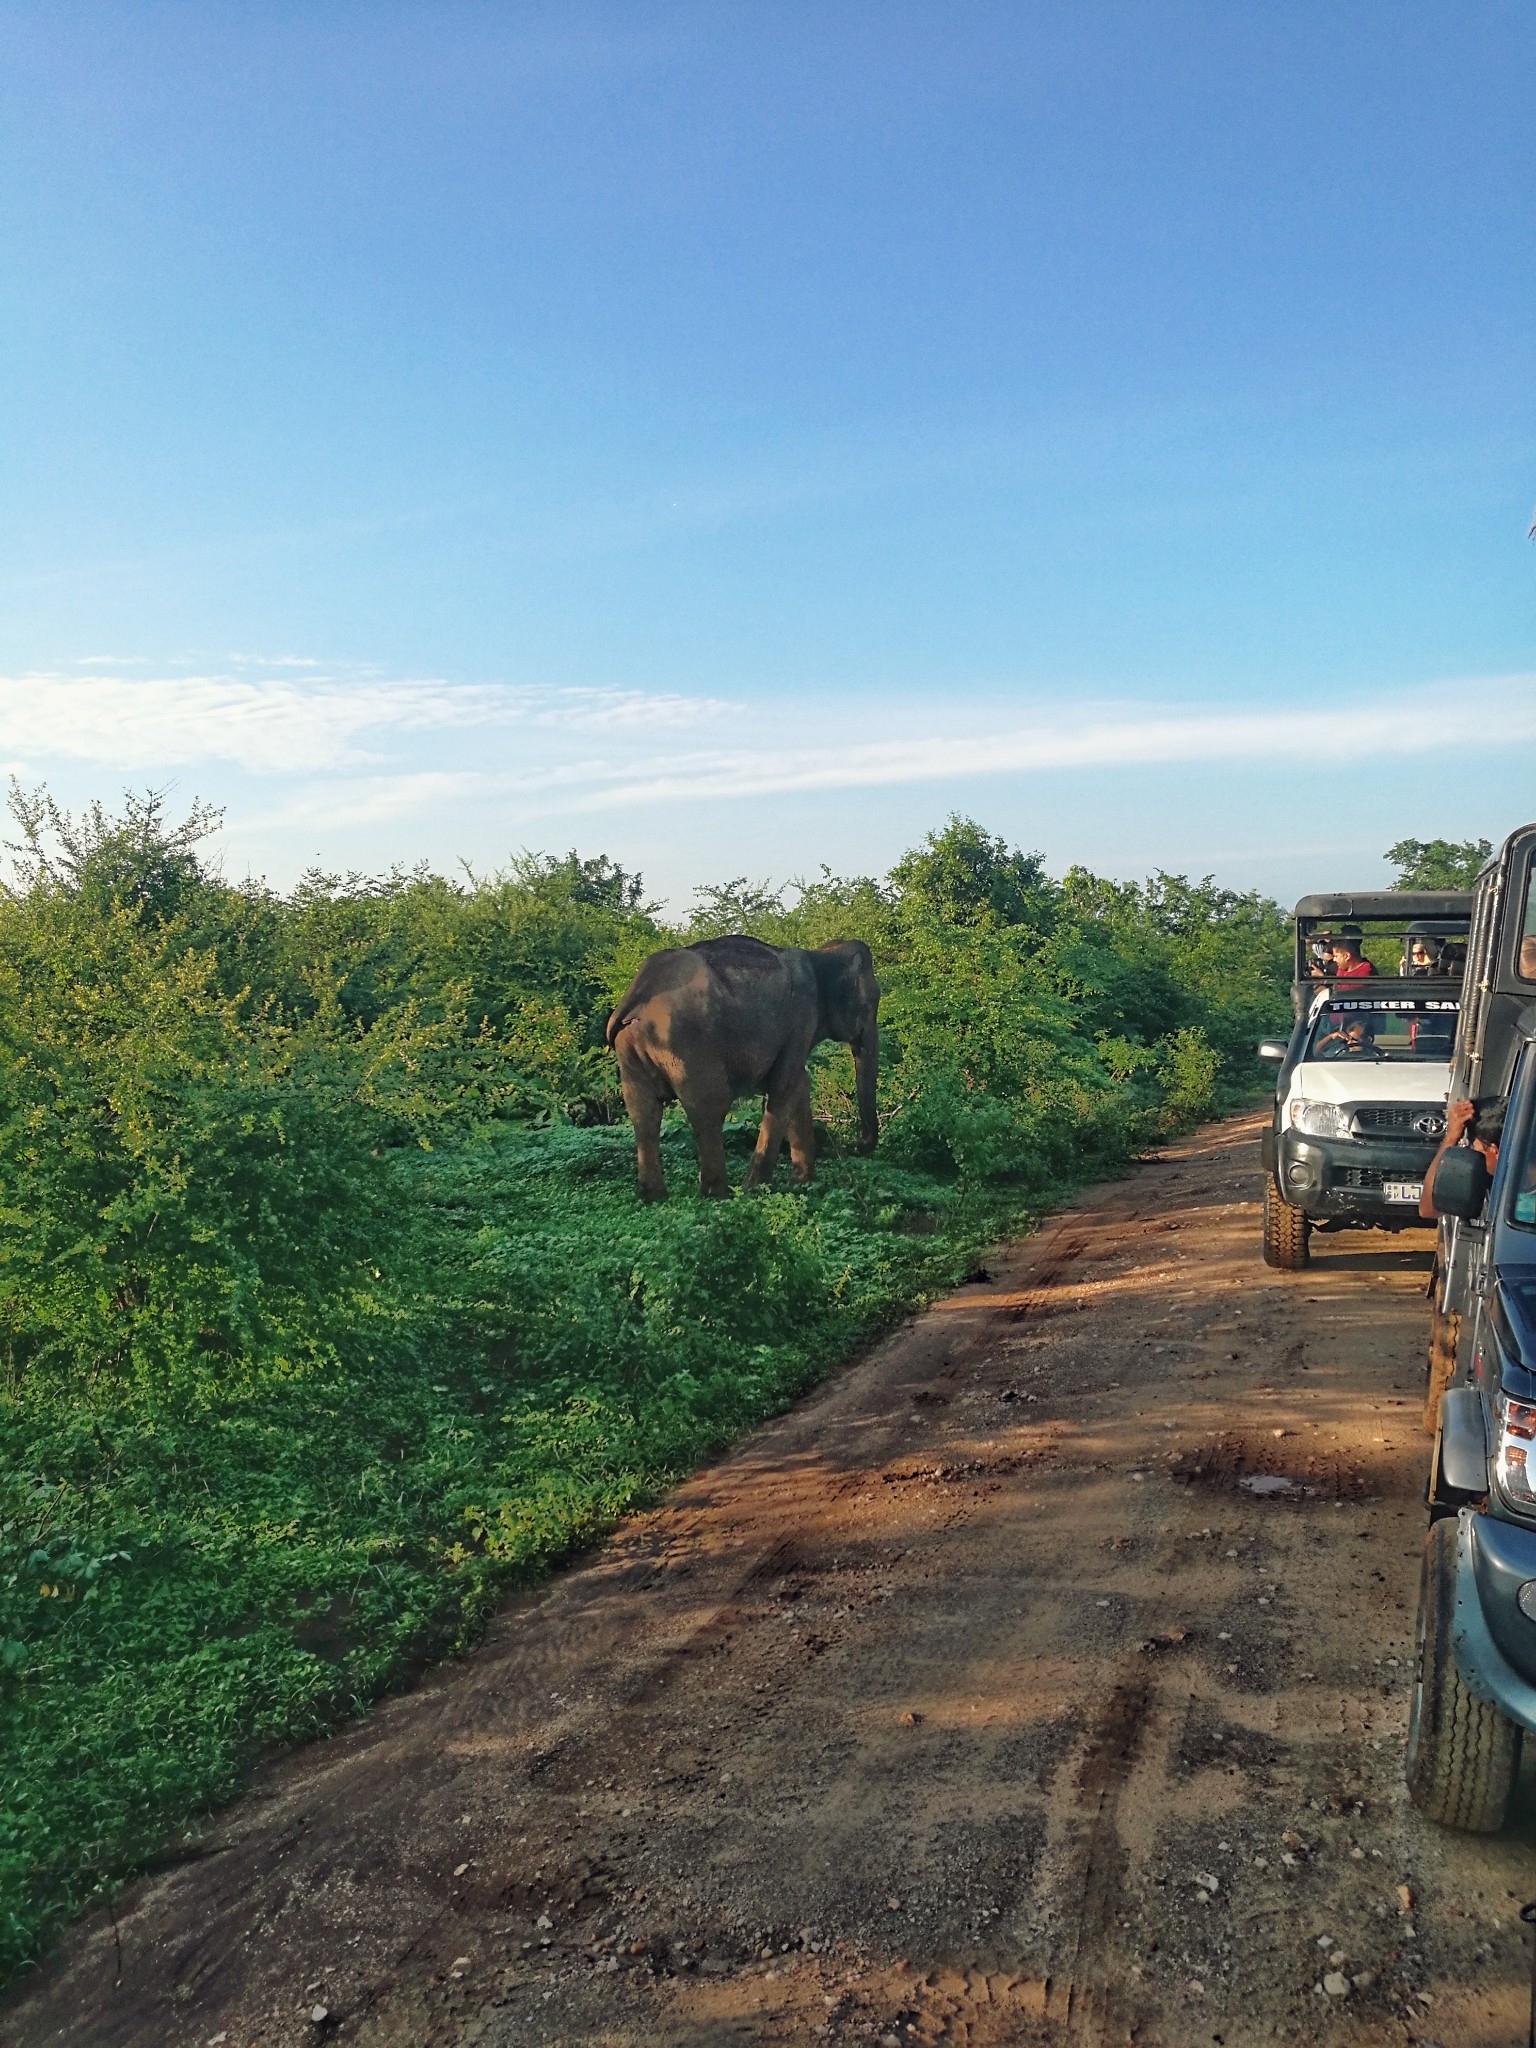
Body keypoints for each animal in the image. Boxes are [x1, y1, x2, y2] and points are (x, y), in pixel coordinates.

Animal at [606, 937, 884, 1196]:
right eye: (871, 1003)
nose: (858, 1144)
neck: (819, 955)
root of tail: (636, 994)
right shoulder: (801, 1018)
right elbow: (785, 1085)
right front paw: (756, 1188)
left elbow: (798, 1083)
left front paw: (801, 1182)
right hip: (687, 1044)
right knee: (710, 1109)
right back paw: (719, 1194)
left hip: (630, 1046)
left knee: (644, 1113)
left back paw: (654, 1196)